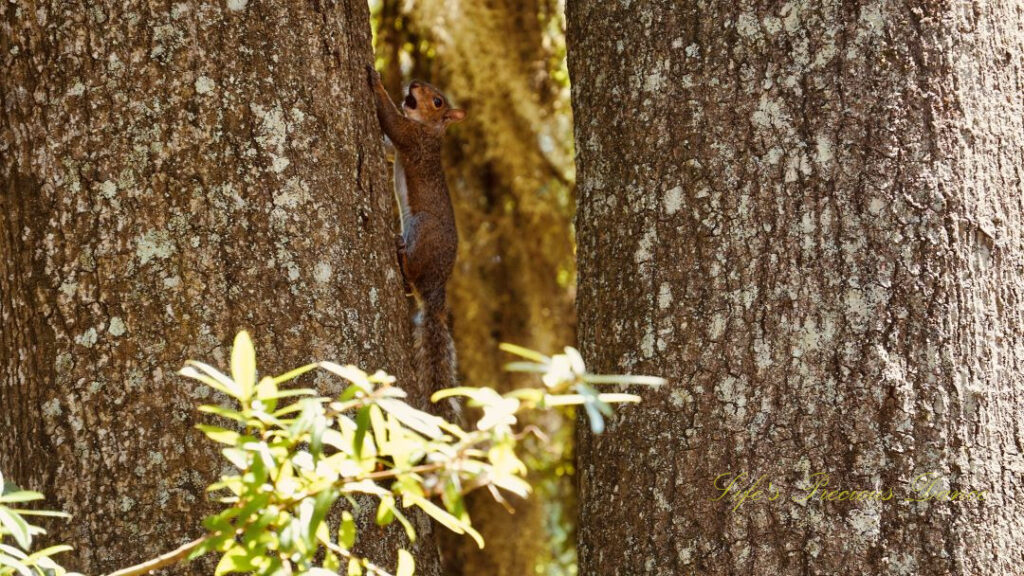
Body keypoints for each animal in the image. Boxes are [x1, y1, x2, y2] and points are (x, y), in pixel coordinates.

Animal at [366, 65, 466, 405]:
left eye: (437, 101)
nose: (416, 82)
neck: (430, 129)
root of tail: (437, 289)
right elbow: (386, 147)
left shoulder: (414, 140)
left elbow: (393, 121)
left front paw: (377, 82)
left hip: (423, 228)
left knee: (412, 270)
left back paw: (401, 253)